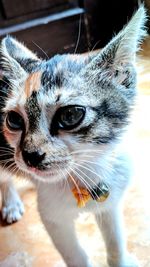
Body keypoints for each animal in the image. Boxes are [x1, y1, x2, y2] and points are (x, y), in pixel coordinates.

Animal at [0, 5, 146, 267]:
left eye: (70, 115)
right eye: (14, 120)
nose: (30, 155)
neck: (84, 174)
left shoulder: (111, 200)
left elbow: (115, 243)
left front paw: (120, 259)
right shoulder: (53, 217)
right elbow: (75, 255)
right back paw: (10, 202)